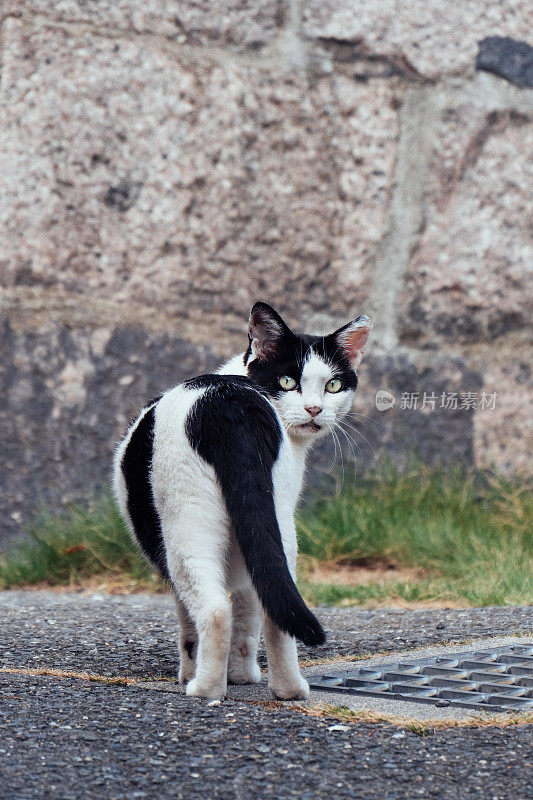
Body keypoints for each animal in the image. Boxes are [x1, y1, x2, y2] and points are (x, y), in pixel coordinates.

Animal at [113, 302, 370, 700]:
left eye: (333, 385)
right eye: (287, 382)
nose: (314, 409)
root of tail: (229, 404)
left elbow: (189, 623)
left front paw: (190, 671)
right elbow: (249, 617)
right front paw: (243, 675)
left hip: (186, 530)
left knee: (215, 610)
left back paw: (204, 689)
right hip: (279, 524)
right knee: (276, 606)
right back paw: (289, 689)